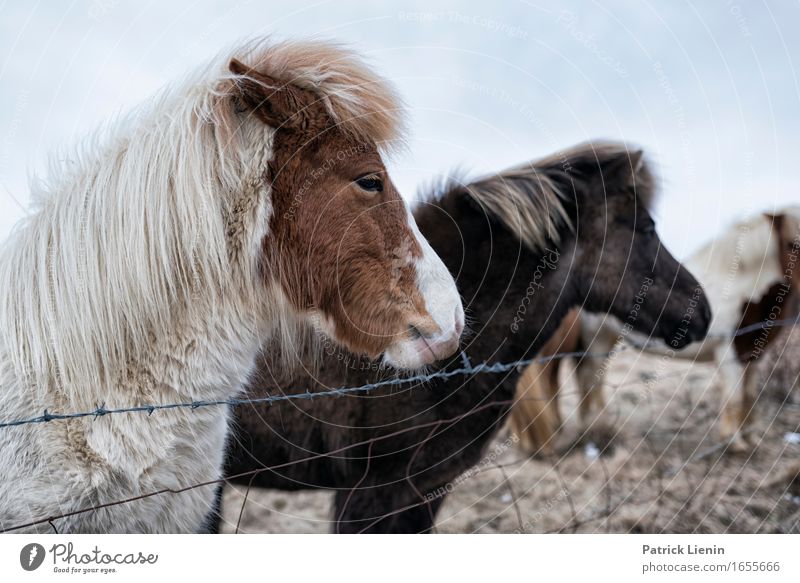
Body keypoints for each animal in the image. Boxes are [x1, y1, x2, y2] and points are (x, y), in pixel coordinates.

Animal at [512, 208, 800, 454]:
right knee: (585, 379)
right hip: (595, 341)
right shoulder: (729, 356)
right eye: (792, 244)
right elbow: (736, 398)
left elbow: (750, 396)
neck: (740, 287)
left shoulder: (752, 355)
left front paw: (751, 438)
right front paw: (734, 443)